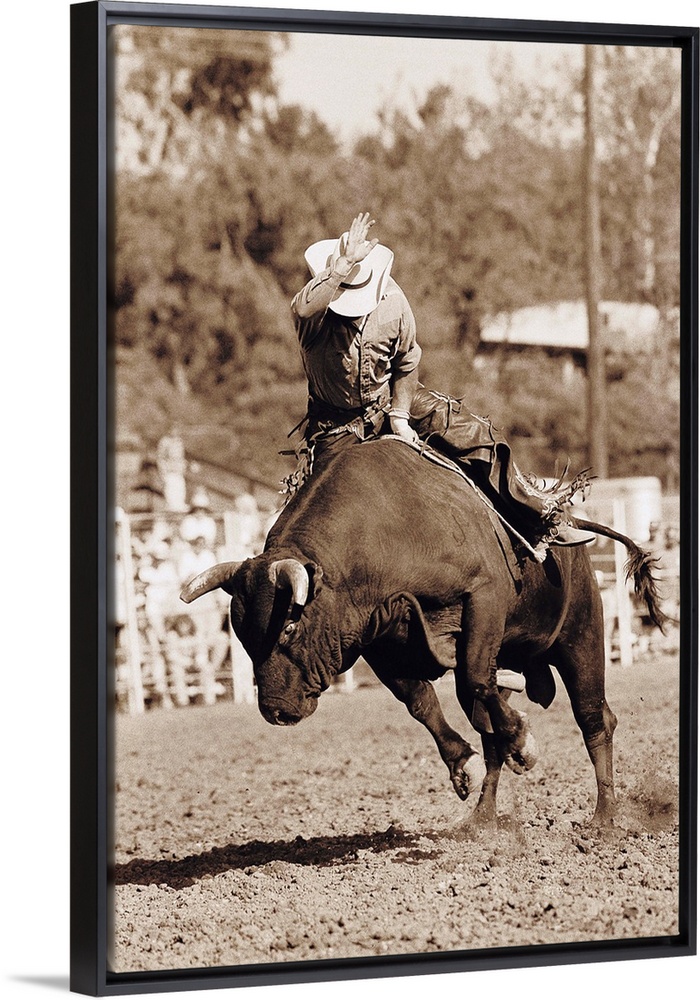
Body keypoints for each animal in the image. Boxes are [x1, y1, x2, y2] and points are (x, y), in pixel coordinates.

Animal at [181, 438, 665, 825]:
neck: (384, 533)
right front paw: (464, 764)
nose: (275, 711)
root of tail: (571, 528)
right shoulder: (376, 640)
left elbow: (475, 677)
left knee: (593, 718)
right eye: (241, 636)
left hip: (581, 634)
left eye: (290, 626)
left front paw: (524, 742)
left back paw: (604, 818)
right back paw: (481, 820)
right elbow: (422, 702)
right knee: (490, 728)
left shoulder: (484, 597)